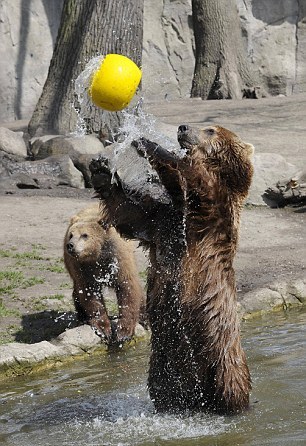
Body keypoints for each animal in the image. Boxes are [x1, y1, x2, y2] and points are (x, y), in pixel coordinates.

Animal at [63, 203, 145, 344]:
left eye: (85, 235)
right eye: (71, 235)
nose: (70, 245)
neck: (97, 255)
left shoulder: (118, 260)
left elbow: (127, 288)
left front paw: (123, 332)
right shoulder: (82, 268)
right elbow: (90, 294)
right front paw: (103, 329)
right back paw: (82, 316)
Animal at [89, 123, 255, 412]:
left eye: (211, 130)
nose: (183, 127)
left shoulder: (210, 214)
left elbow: (198, 179)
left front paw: (151, 144)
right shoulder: (162, 222)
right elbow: (129, 213)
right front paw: (100, 169)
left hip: (222, 353)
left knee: (231, 386)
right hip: (164, 365)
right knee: (164, 388)